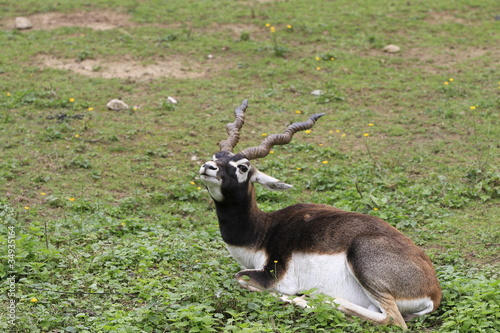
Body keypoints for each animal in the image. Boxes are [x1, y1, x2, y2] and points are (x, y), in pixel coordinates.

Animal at [199, 98, 442, 326]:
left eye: (243, 167)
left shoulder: (274, 276)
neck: (263, 232)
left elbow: (239, 278)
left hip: (363, 260)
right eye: (216, 155)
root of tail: (434, 292)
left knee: (393, 320)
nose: (207, 167)